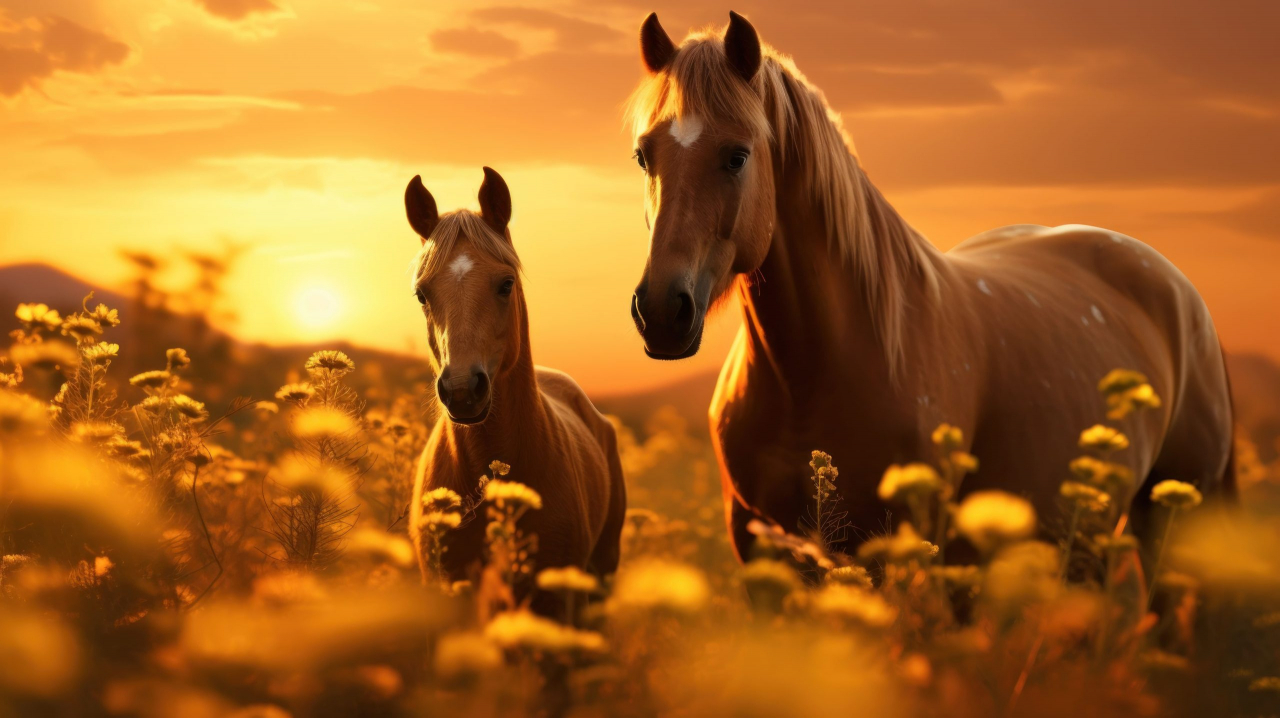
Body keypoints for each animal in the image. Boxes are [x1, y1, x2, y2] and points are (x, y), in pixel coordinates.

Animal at [625, 12, 1235, 566]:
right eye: (643, 155)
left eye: (737, 155)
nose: (661, 311)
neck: (810, 377)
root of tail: (1181, 294)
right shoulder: (758, 546)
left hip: (1164, 519)